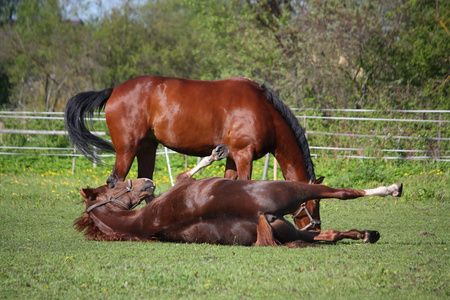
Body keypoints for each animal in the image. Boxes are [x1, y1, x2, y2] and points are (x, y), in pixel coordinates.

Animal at [65, 75, 320, 230]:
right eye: (315, 202)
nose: (315, 226)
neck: (264, 111)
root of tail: (114, 89)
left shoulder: (231, 157)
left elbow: (228, 183)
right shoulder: (243, 155)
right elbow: (245, 183)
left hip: (147, 148)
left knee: (146, 183)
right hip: (127, 149)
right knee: (115, 180)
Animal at [74, 146, 404, 247]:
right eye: (112, 187)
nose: (146, 182)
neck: (143, 220)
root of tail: (256, 214)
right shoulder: (182, 182)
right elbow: (189, 171)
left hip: (294, 232)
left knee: (329, 234)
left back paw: (368, 234)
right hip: (293, 191)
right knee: (343, 193)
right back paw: (391, 189)